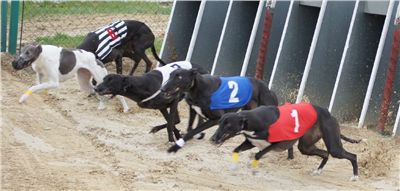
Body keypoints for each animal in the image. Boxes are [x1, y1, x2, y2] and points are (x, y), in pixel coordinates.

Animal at [211, 103, 360, 181]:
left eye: (228, 125)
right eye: (219, 122)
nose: (212, 139)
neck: (256, 120)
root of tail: (329, 114)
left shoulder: (279, 144)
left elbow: (258, 155)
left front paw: (253, 171)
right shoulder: (251, 142)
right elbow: (236, 150)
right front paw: (233, 168)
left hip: (333, 145)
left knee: (352, 156)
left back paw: (355, 176)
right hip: (305, 146)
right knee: (324, 153)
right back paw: (318, 171)